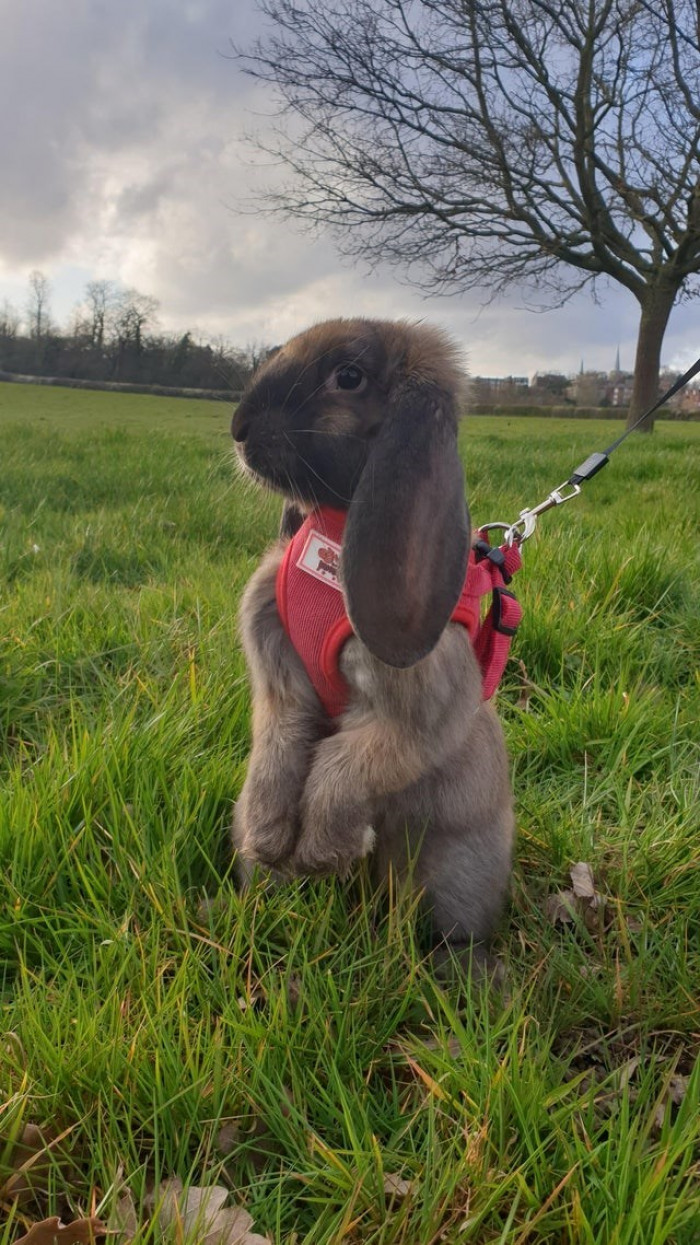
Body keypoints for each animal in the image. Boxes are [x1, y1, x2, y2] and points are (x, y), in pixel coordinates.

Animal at [230, 318, 515, 959]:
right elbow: (280, 747)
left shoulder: (408, 721)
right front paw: (268, 840)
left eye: (349, 376)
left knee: (453, 927)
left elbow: (345, 765)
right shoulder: (281, 683)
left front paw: (320, 852)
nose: (238, 428)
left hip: (450, 870)